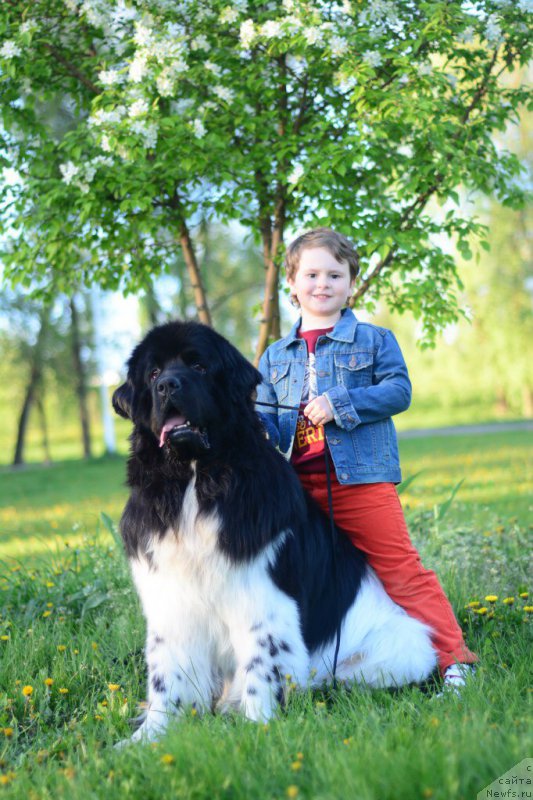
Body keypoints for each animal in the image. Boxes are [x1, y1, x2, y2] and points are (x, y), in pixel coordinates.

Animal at [112, 320, 436, 744]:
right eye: (152, 374)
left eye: (199, 366)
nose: (168, 385)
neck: (196, 481)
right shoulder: (171, 600)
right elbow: (167, 675)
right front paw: (147, 738)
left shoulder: (263, 600)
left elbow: (261, 666)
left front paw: (257, 729)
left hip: (406, 647)